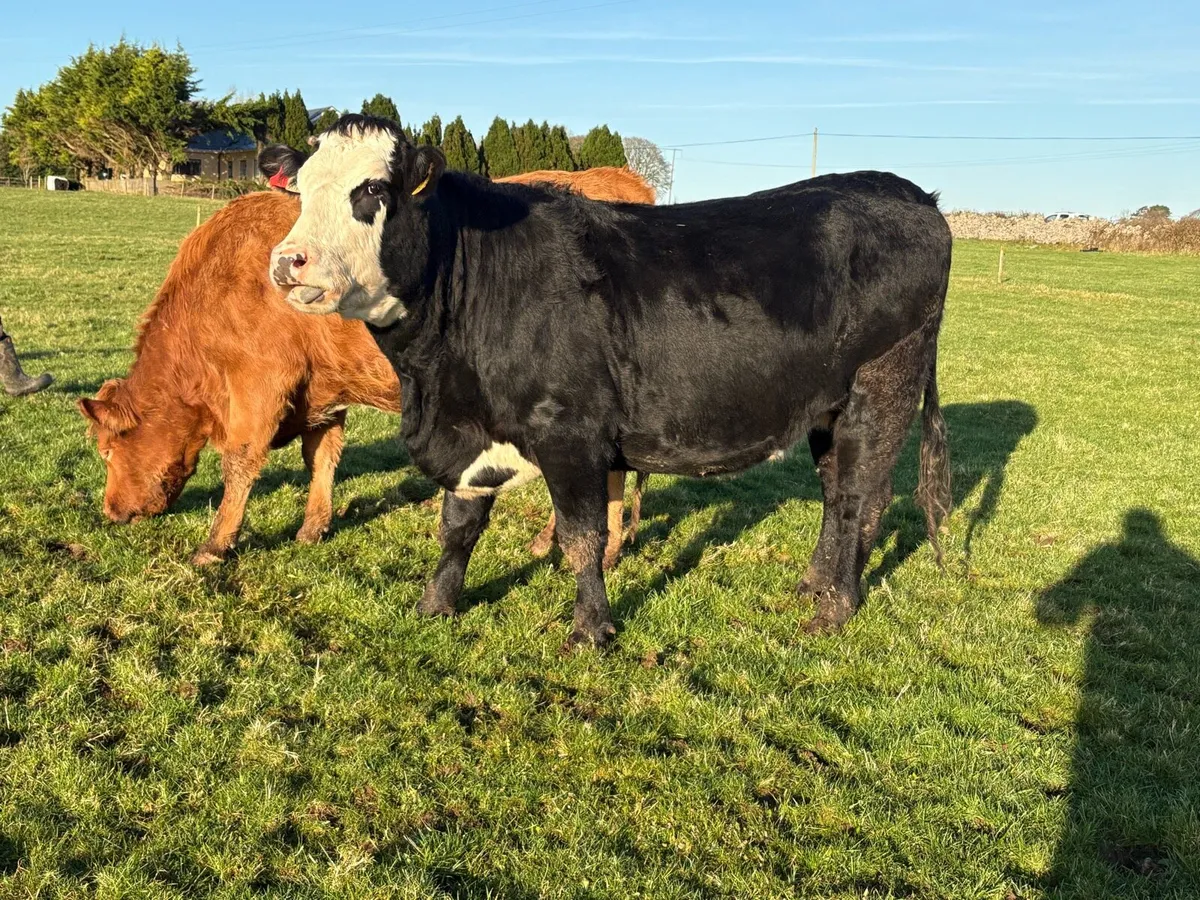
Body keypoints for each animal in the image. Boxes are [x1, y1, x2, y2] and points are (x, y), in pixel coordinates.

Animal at [266, 114, 952, 649]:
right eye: (300, 191)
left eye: (372, 189)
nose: (287, 260)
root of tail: (908, 192)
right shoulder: (471, 432)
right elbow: (458, 525)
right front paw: (436, 604)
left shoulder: (570, 435)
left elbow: (582, 538)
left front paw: (590, 630)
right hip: (827, 408)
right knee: (835, 492)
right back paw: (812, 586)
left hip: (882, 385)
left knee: (862, 498)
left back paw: (833, 611)